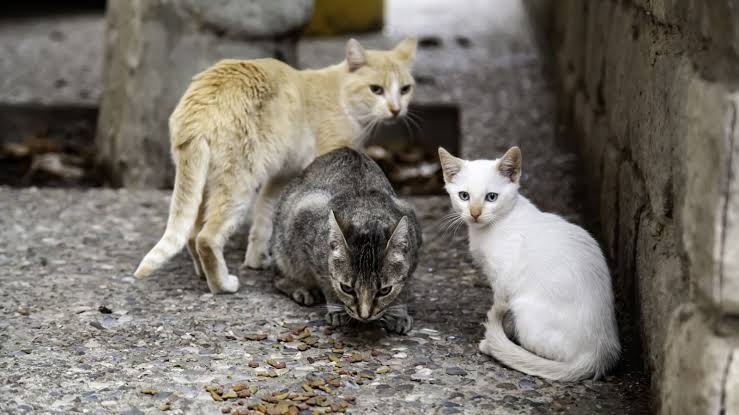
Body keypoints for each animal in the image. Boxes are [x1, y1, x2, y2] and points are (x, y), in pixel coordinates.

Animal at [136, 38, 420, 292]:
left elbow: (265, 214)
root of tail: (200, 105)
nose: (396, 109)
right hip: (238, 184)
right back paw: (222, 285)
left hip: (207, 183)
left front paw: (256, 259)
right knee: (207, 238)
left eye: (405, 89)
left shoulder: (281, 175)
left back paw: (203, 275)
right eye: (376, 89)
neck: (341, 95)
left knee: (193, 234)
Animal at [272, 148, 422, 334]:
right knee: (279, 277)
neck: (366, 215)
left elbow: (403, 288)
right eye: (347, 288)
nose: (364, 316)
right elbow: (327, 282)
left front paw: (398, 313)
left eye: (385, 290)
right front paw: (337, 309)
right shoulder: (306, 221)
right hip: (284, 247)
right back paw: (301, 288)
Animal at [442, 145, 620, 380]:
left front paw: (493, 340)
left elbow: (501, 310)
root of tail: (599, 352)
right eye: (464, 196)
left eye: (491, 197)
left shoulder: (503, 281)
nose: (475, 213)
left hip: (524, 310)